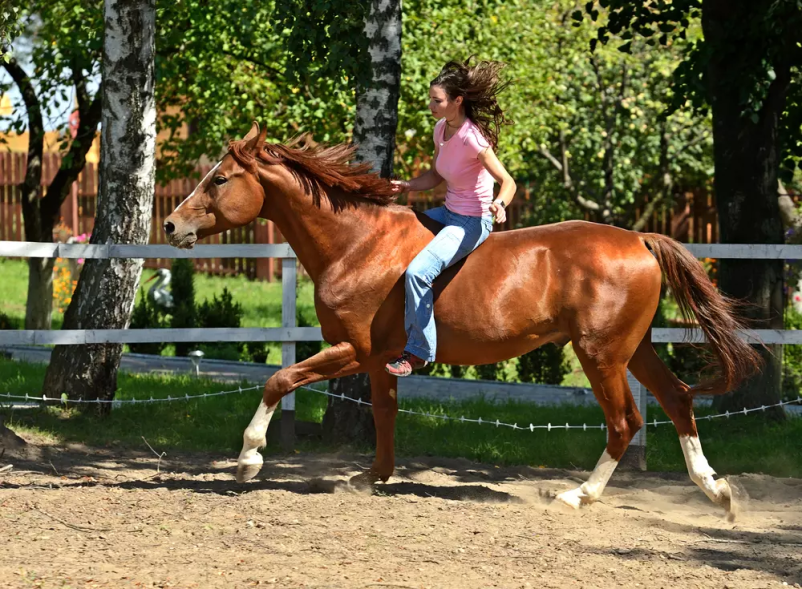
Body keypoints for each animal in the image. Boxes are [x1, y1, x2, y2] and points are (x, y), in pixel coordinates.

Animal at [163, 122, 760, 516]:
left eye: (220, 179)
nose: (170, 225)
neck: (357, 245)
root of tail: (639, 237)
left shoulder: (353, 351)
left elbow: (279, 378)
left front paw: (249, 458)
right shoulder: (381, 359)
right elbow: (385, 414)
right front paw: (371, 477)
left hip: (601, 354)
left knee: (625, 422)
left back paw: (578, 494)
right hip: (633, 349)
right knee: (678, 399)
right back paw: (718, 493)